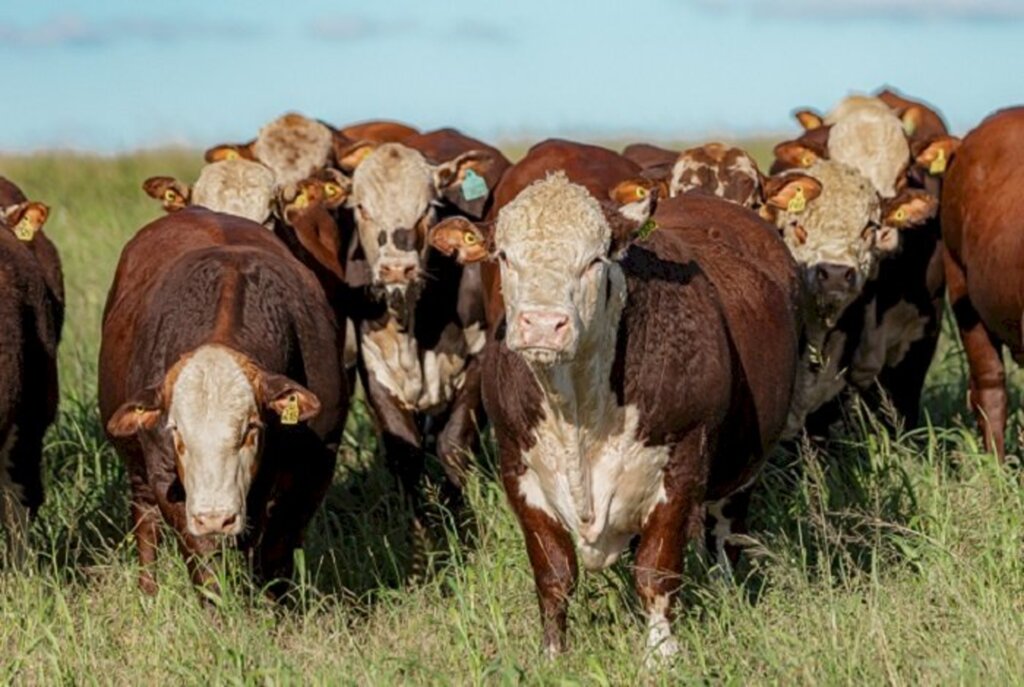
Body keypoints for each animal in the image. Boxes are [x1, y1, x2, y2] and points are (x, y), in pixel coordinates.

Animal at [99, 207, 348, 597]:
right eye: (176, 432)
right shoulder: (166, 476)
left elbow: (276, 550)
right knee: (146, 522)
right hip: (138, 474)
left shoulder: (315, 467)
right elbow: (202, 558)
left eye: (251, 428)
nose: (216, 517)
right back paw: (149, 591)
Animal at [423, 139, 798, 659]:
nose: (543, 324)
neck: (577, 406)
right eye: (504, 256)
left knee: (725, 533)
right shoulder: (518, 468)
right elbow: (553, 573)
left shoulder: (683, 464)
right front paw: (552, 654)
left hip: (741, 470)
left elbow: (656, 570)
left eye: (595, 260)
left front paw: (660, 654)